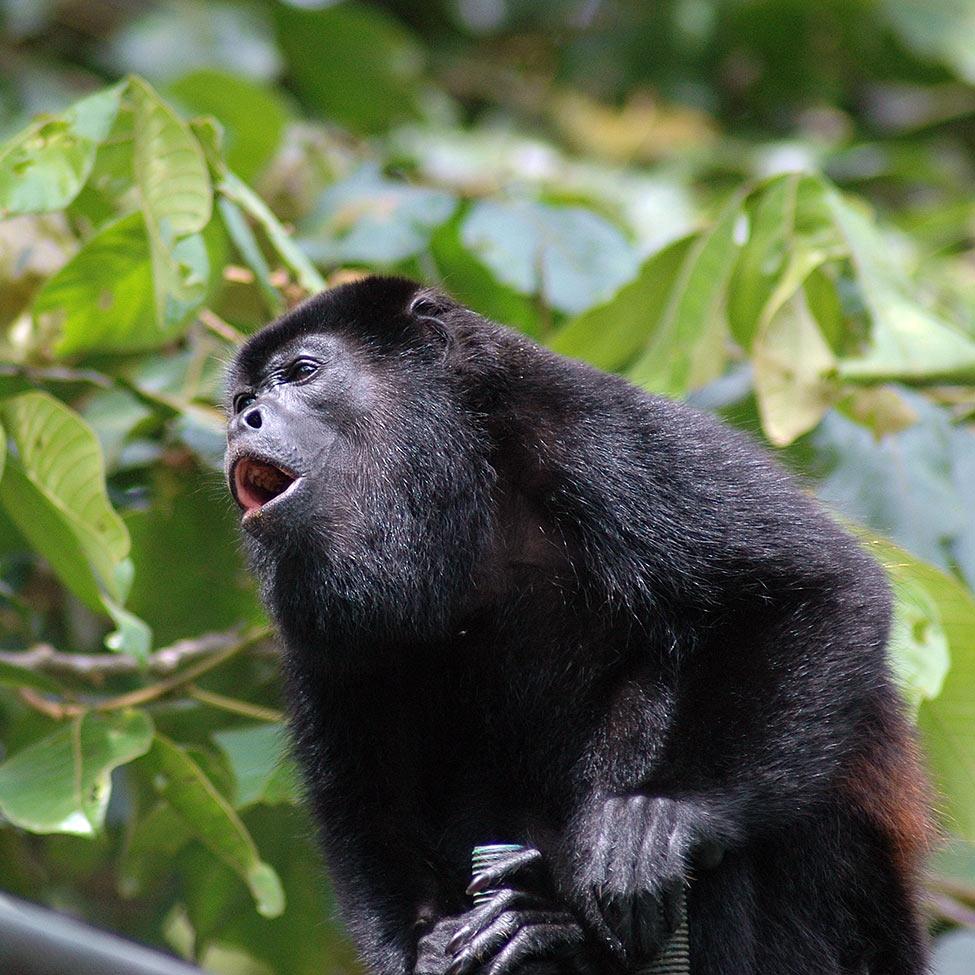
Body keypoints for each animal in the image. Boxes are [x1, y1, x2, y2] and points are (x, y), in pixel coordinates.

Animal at [225, 276, 936, 975]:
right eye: (241, 398)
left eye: (302, 372)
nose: (240, 422)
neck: (449, 492)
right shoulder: (317, 623)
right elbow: (368, 789)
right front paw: (420, 948)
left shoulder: (600, 435)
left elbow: (819, 587)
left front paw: (668, 817)